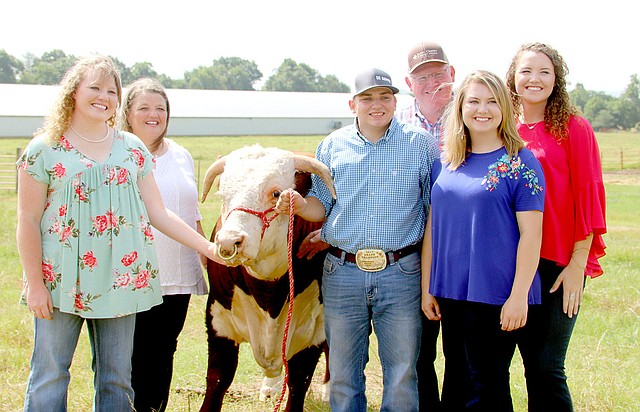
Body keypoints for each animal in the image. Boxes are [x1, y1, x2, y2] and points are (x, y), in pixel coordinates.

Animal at [201, 144, 338, 408]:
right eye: (222, 194)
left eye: (276, 193)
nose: (229, 242)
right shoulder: (218, 322)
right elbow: (217, 380)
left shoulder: (313, 332)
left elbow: (298, 383)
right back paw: (270, 386)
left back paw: (328, 390)